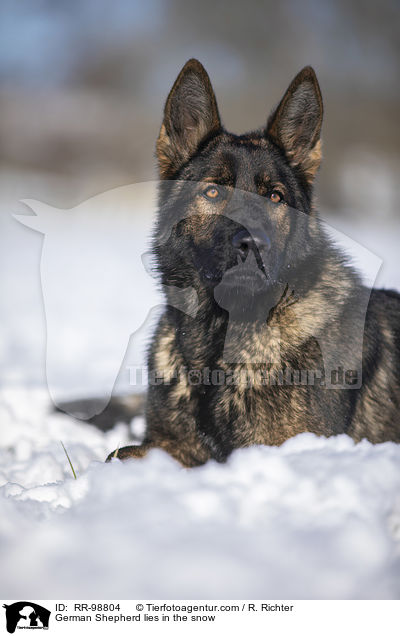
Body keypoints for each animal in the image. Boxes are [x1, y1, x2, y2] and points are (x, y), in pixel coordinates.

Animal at [107, 60, 400, 468]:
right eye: (213, 190)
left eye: (275, 197)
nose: (253, 244)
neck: (219, 334)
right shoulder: (170, 445)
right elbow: (117, 453)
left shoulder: (282, 447)